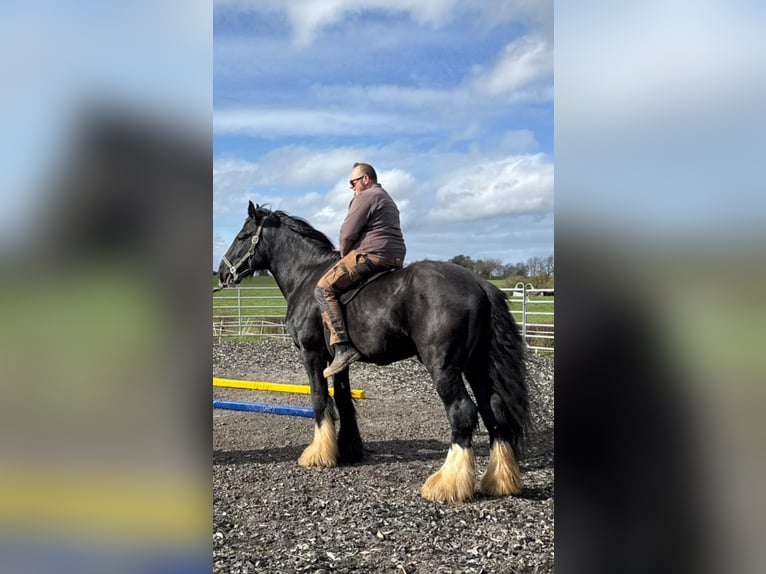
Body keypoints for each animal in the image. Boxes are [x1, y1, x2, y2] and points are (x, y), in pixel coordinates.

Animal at [217, 201, 529, 503]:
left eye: (243, 236)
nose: (221, 273)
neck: (305, 276)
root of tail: (479, 283)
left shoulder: (312, 353)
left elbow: (319, 398)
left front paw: (318, 454)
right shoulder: (339, 360)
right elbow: (343, 400)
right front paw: (347, 449)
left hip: (444, 367)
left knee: (463, 412)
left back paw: (446, 484)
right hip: (476, 365)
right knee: (494, 409)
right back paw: (499, 480)